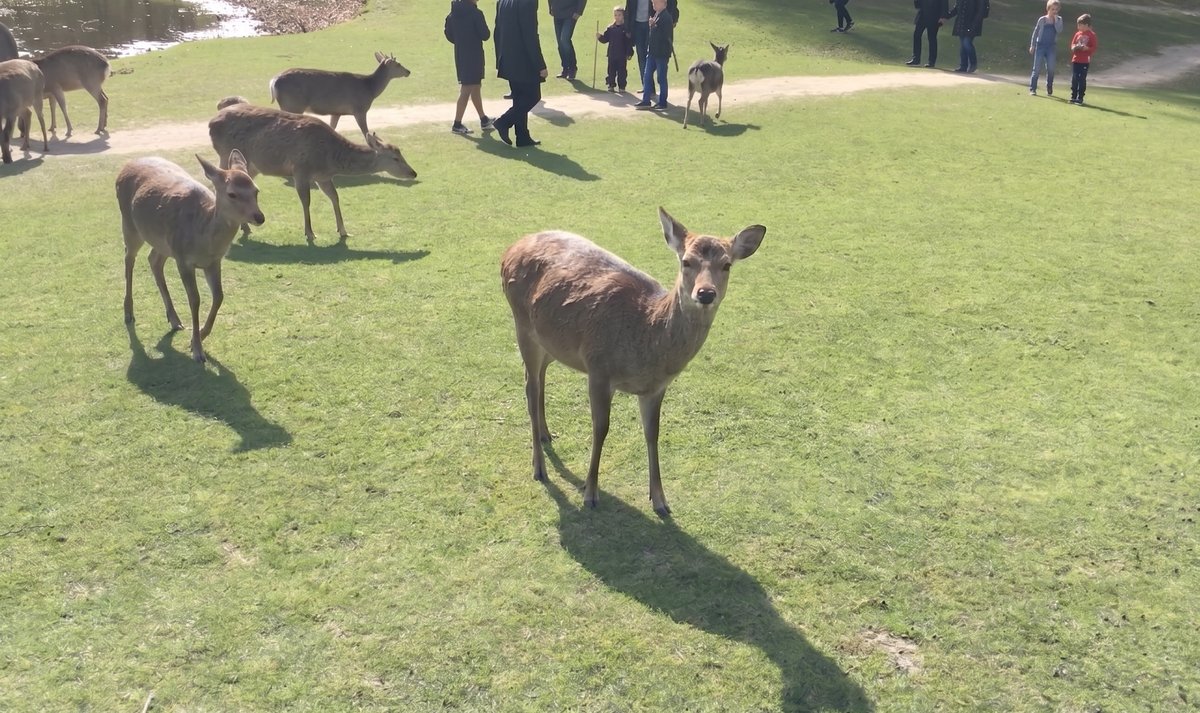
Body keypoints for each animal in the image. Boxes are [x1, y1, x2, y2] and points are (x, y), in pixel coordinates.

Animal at [116, 150, 265, 363]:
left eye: (256, 190)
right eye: (232, 194)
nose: (259, 217)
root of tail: (126, 166)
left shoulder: (214, 261)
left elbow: (219, 296)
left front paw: (201, 334)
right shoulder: (183, 260)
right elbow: (194, 299)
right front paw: (197, 349)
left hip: (163, 243)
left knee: (153, 260)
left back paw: (174, 319)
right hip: (130, 225)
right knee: (129, 258)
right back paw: (129, 313)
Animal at [208, 102, 417, 244]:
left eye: (401, 152)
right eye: (395, 158)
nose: (413, 173)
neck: (329, 159)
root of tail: (211, 123)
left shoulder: (323, 177)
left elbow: (335, 197)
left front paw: (343, 230)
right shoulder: (301, 169)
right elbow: (306, 201)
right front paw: (310, 233)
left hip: (251, 165)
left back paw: (245, 227)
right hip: (225, 153)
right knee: (216, 182)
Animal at [269, 52, 410, 141]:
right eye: (398, 64)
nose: (408, 71)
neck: (370, 89)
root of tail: (273, 82)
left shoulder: (336, 112)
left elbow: (333, 128)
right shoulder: (359, 109)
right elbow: (366, 132)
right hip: (293, 104)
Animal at [500, 207, 767, 516]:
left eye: (726, 265)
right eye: (686, 261)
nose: (706, 293)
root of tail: (509, 249)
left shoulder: (655, 388)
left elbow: (653, 432)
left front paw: (660, 500)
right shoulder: (598, 368)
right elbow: (601, 429)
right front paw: (590, 493)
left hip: (551, 342)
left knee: (539, 378)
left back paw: (545, 434)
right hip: (522, 325)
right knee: (530, 388)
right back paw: (539, 468)